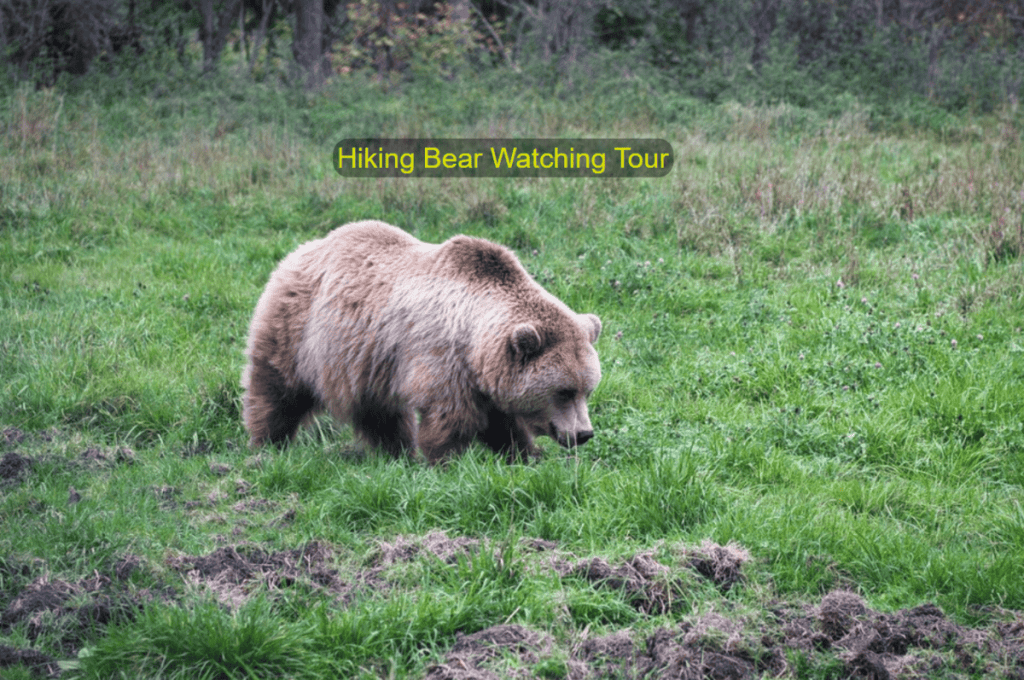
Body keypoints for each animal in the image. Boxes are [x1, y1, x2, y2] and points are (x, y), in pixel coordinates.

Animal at [241, 220, 602, 463]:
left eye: (587, 389)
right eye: (564, 391)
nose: (583, 434)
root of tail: (301, 250)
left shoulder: (486, 375)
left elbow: (505, 423)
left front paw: (525, 455)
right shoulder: (444, 359)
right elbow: (451, 419)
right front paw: (447, 461)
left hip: (364, 359)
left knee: (379, 413)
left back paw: (397, 452)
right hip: (299, 329)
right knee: (277, 387)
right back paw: (268, 444)